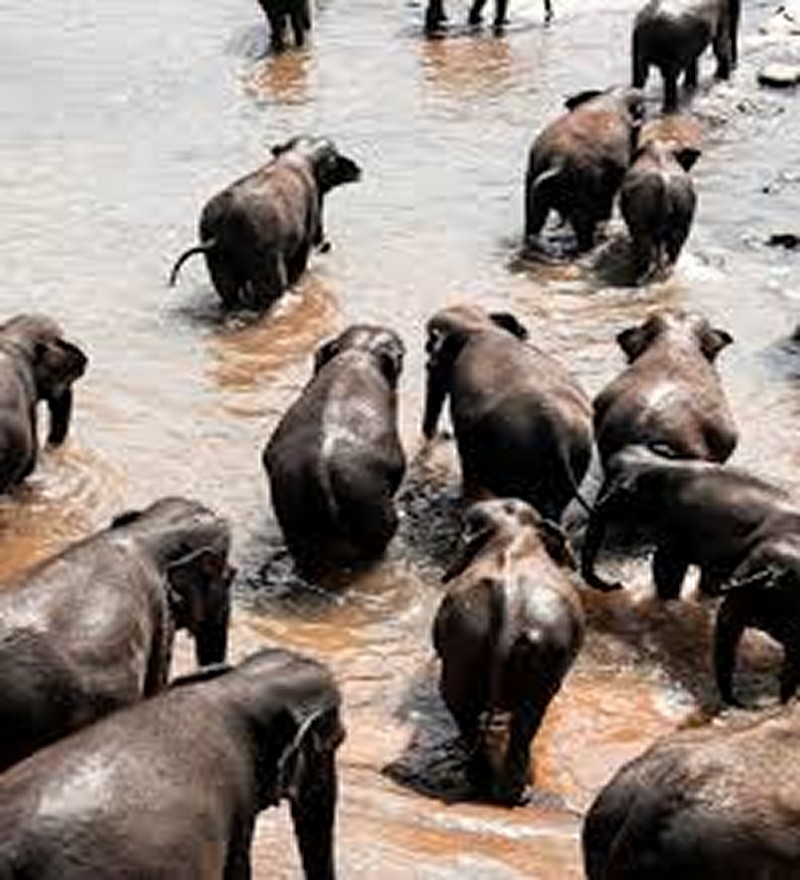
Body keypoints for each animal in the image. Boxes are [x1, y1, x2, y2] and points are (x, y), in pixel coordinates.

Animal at [169, 136, 361, 310]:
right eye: (335, 157)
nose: (359, 170)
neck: (300, 153)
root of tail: (220, 233)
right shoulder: (312, 208)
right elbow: (300, 260)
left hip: (217, 260)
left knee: (228, 292)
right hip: (263, 256)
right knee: (272, 291)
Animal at [434, 499, 584, 804]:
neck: (513, 533)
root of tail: (509, 610)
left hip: (464, 642)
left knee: (461, 706)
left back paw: (484, 784)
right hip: (545, 650)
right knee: (531, 714)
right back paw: (516, 793)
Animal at [524, 87, 645, 254]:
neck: (614, 96)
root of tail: (557, 162)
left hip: (532, 174)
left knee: (533, 216)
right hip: (580, 184)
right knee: (582, 221)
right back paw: (586, 246)